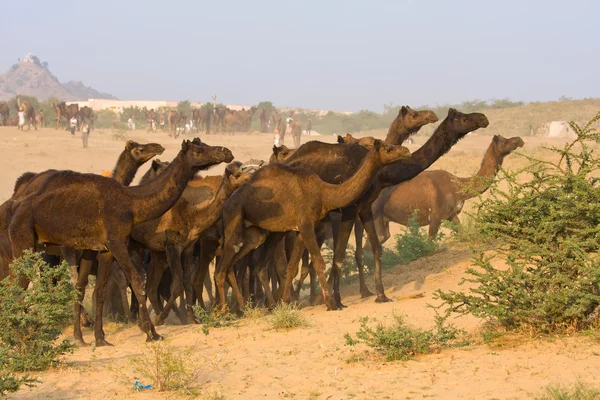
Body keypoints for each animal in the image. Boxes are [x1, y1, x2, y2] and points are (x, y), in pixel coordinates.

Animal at [7, 139, 232, 346]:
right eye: (198, 151)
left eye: (204, 144)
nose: (226, 151)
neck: (131, 202)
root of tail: (15, 207)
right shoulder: (117, 242)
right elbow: (137, 281)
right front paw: (151, 332)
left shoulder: (105, 249)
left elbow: (101, 290)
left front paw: (100, 339)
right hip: (24, 243)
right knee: (19, 287)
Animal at [214, 141, 412, 312]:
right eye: (388, 148)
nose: (406, 150)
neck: (324, 192)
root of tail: (225, 205)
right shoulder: (307, 224)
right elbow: (319, 261)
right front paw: (331, 303)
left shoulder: (303, 228)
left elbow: (292, 266)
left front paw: (286, 302)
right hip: (234, 222)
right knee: (224, 267)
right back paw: (226, 313)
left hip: (258, 233)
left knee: (242, 265)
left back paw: (254, 307)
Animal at [372, 134, 524, 241]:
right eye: (505, 141)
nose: (519, 140)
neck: (457, 187)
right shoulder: (435, 217)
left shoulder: (451, 215)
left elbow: (461, 231)